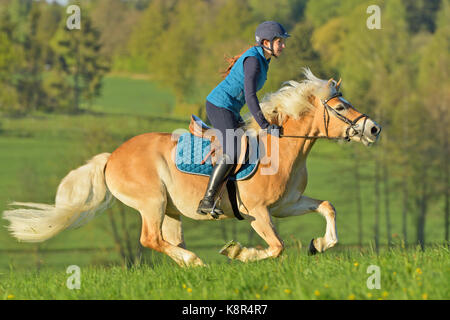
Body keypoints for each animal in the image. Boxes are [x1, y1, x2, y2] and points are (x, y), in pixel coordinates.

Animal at [2, 69, 380, 268]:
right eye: (341, 107)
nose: (374, 129)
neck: (283, 146)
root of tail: (112, 157)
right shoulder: (258, 213)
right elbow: (276, 247)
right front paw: (239, 252)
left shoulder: (286, 205)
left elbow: (327, 207)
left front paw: (320, 244)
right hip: (151, 202)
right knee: (150, 238)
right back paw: (195, 261)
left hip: (170, 210)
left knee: (165, 239)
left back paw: (188, 263)